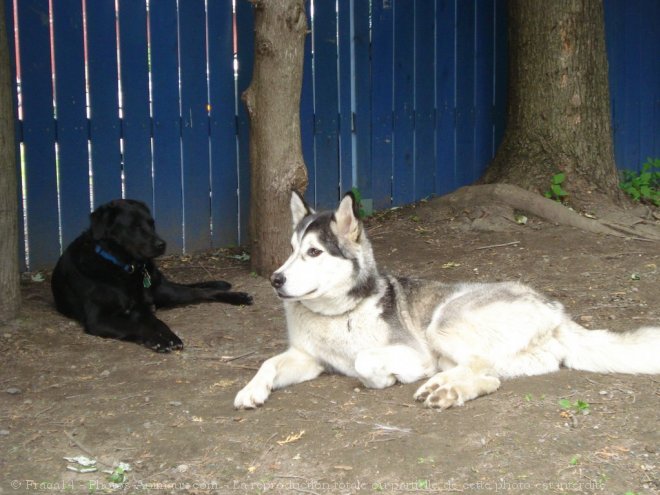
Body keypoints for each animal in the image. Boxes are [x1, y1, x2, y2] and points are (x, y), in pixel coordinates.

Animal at [51, 199, 253, 352]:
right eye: (134, 226)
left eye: (151, 223)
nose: (162, 244)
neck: (123, 267)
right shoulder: (99, 318)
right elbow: (137, 326)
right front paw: (160, 340)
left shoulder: (142, 308)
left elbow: (160, 323)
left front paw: (169, 336)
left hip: (166, 292)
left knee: (201, 292)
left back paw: (238, 296)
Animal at [233, 194, 660, 410]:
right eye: (291, 250)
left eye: (314, 252)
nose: (275, 279)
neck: (341, 313)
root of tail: (555, 309)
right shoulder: (308, 359)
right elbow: (268, 363)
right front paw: (252, 391)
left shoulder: (413, 352)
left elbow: (365, 362)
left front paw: (386, 378)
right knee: (490, 376)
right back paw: (451, 391)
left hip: (443, 322)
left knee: (480, 365)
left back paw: (441, 386)